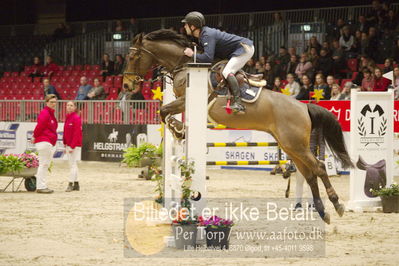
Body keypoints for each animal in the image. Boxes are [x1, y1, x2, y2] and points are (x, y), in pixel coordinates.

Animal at [123, 29, 354, 224]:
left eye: (133, 57)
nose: (126, 85)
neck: (184, 65)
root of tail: (304, 107)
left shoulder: (188, 100)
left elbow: (164, 112)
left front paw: (178, 129)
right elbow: (165, 113)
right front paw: (179, 130)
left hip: (296, 145)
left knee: (319, 167)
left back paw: (337, 204)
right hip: (291, 146)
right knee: (309, 174)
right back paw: (322, 212)